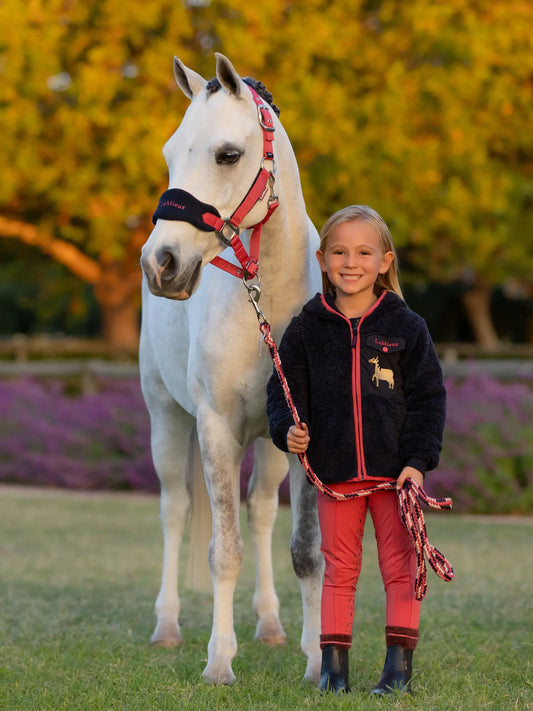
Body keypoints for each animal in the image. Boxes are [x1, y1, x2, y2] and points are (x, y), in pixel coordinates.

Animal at [139, 53, 323, 685]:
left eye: (226, 154)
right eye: (169, 153)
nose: (160, 263)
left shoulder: (304, 434)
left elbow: (304, 550)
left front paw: (319, 659)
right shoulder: (215, 427)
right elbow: (224, 550)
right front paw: (220, 661)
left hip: (268, 446)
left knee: (263, 511)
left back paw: (270, 625)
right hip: (167, 420)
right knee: (174, 511)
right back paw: (167, 627)